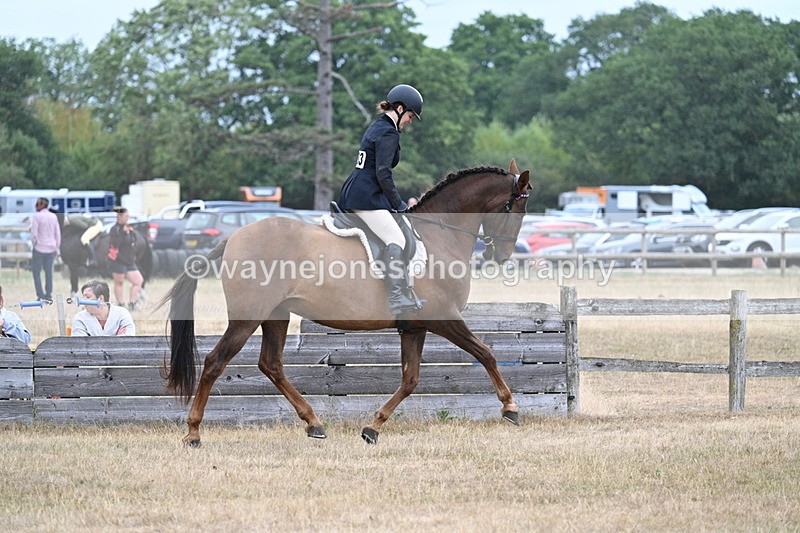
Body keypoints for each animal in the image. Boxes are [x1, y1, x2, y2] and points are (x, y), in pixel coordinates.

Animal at [161, 160, 531, 446]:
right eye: (516, 209)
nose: (502, 256)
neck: (440, 234)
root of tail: (234, 237)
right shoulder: (443, 317)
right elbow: (486, 353)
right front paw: (510, 407)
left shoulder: (415, 327)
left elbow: (410, 380)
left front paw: (373, 427)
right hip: (247, 317)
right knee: (215, 362)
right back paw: (193, 433)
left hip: (276, 315)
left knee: (271, 364)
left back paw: (314, 423)